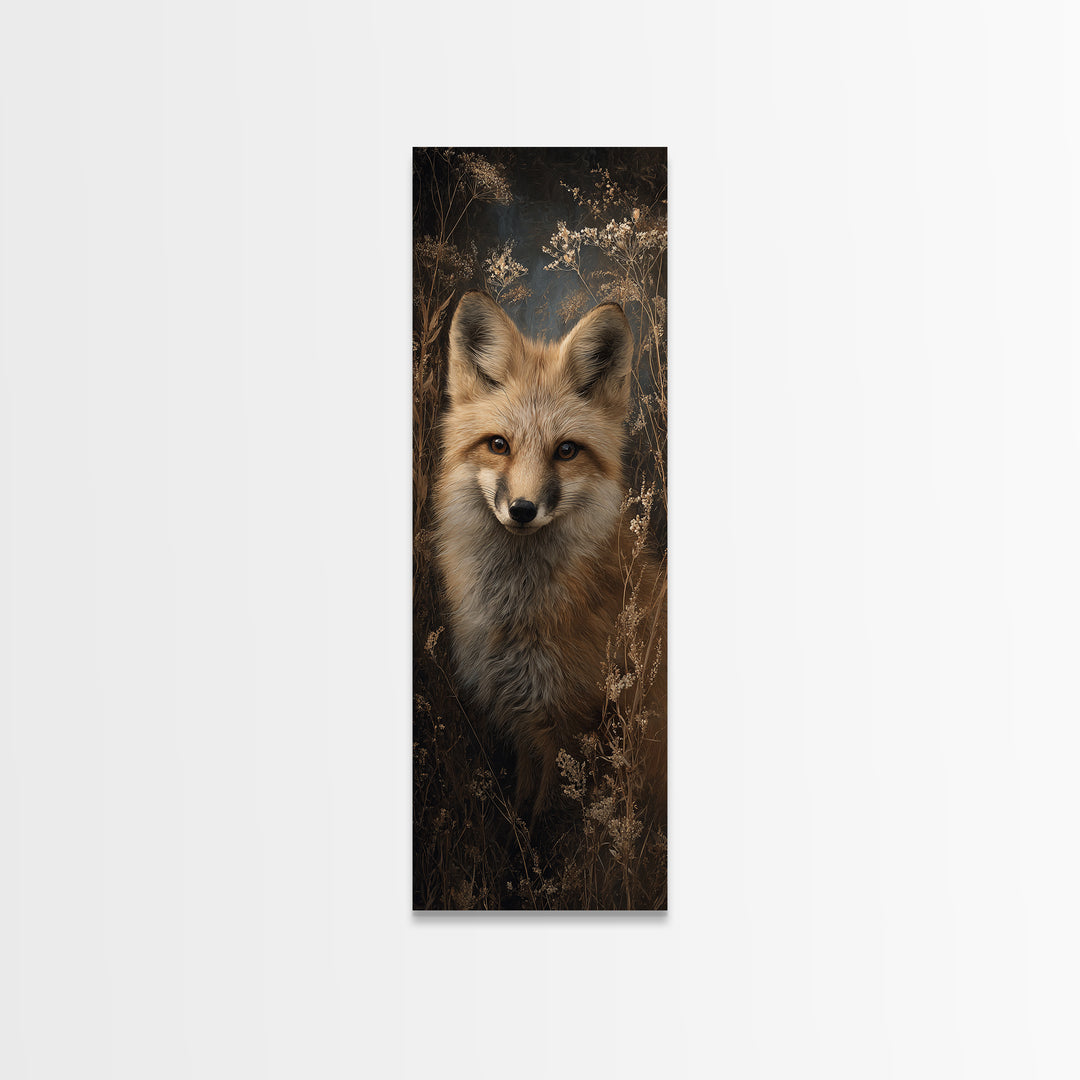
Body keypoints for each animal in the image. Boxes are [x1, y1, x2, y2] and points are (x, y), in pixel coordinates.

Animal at [433, 290, 666, 827]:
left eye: (566, 451)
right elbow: (524, 811)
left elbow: (551, 823)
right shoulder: (525, 721)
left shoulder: (571, 727)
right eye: (499, 445)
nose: (522, 510)